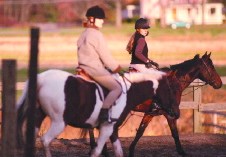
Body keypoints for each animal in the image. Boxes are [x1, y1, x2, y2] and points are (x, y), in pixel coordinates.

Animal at [16, 66, 178, 156]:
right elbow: (97, 151)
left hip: (38, 118)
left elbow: (118, 152)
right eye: (170, 90)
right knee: (45, 140)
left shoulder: (113, 130)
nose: (176, 114)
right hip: (58, 122)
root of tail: (41, 79)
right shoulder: (106, 128)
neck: (128, 91)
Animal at [88, 52, 222, 156]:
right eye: (211, 67)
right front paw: (182, 152)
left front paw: (131, 151)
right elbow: (175, 133)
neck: (173, 83)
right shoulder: (169, 113)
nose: (219, 83)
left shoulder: (150, 113)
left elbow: (140, 132)